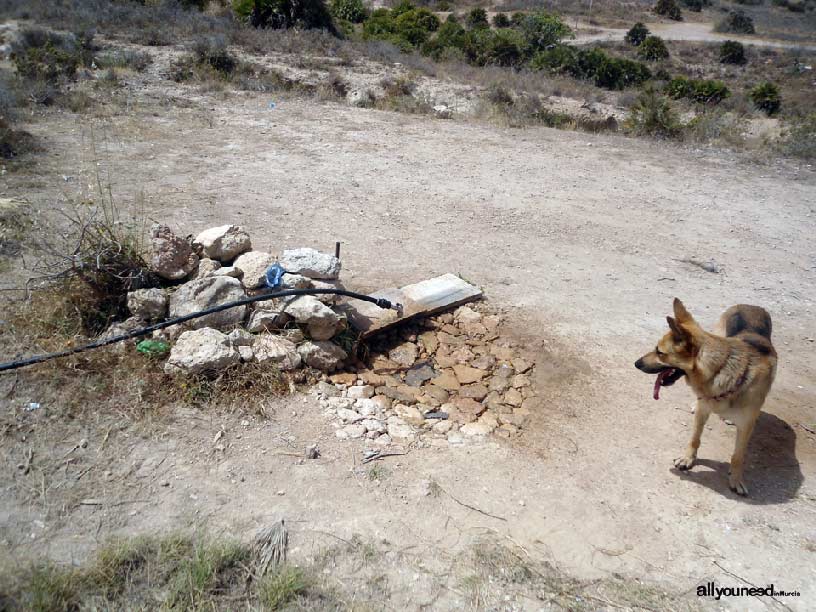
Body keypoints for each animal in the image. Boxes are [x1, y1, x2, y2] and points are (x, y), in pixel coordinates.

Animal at [636, 298, 776, 494]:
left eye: (660, 352)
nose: (636, 363)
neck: (721, 371)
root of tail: (750, 305)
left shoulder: (747, 426)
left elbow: (738, 455)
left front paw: (736, 478)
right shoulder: (703, 410)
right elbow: (695, 438)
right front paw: (687, 459)